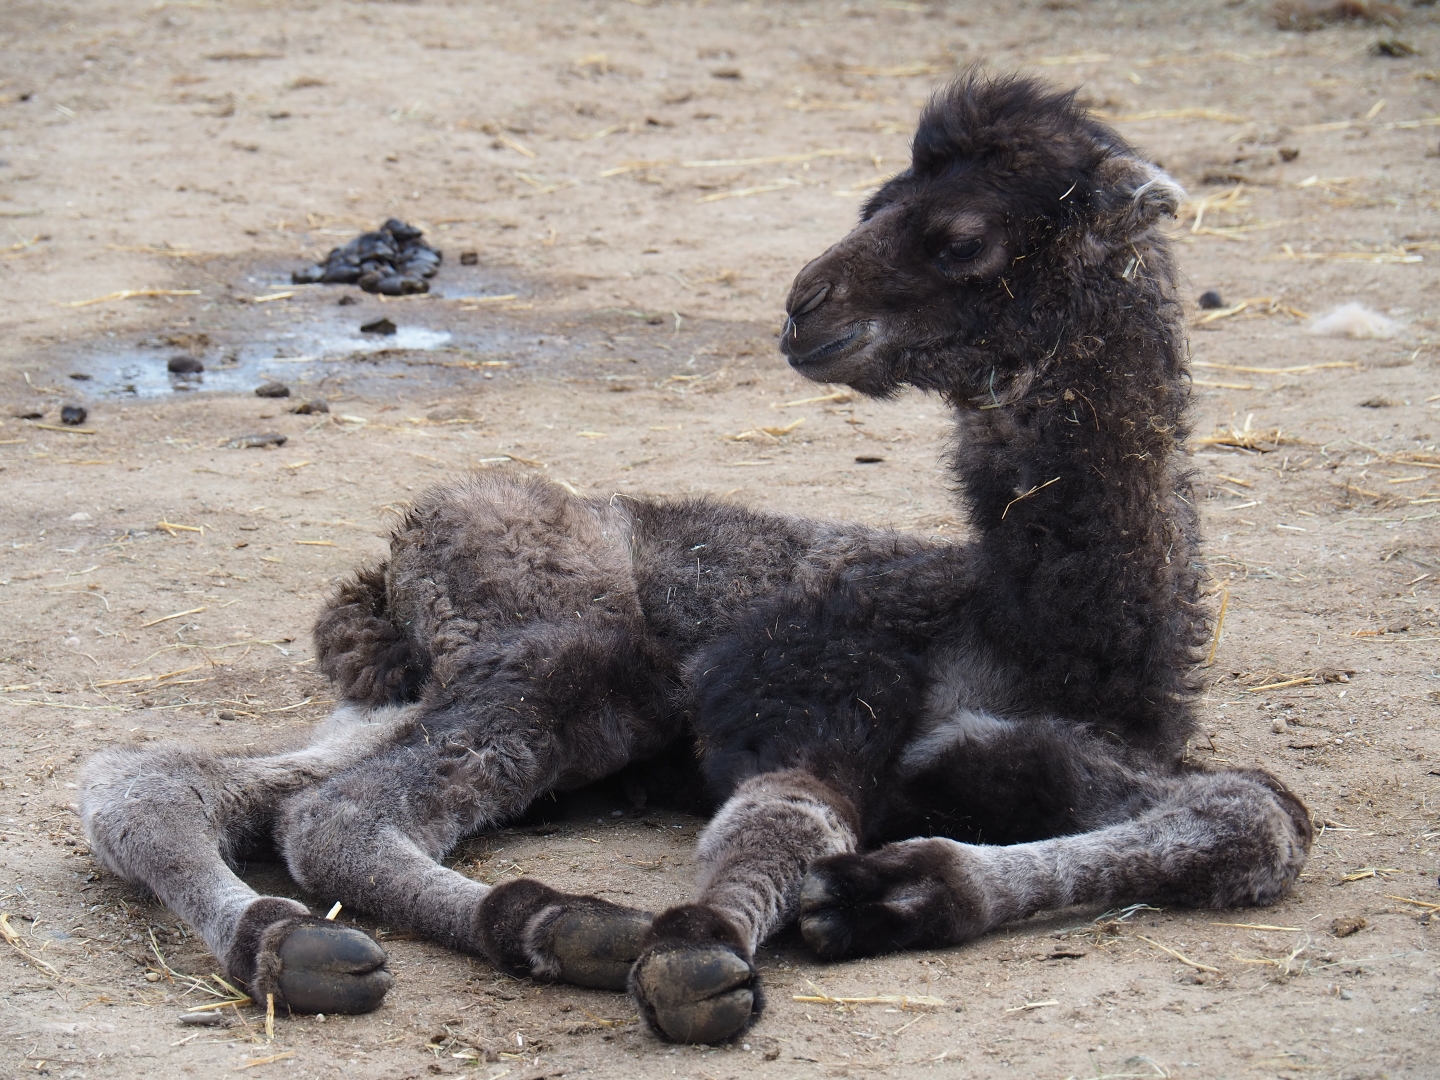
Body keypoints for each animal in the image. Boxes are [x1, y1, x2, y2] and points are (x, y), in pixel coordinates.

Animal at [80, 72, 1312, 1046]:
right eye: (877, 204)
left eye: (961, 238)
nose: (804, 305)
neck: (1038, 624)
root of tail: (389, 564)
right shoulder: (813, 680)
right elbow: (784, 815)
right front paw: (703, 948)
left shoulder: (1044, 742)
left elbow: (1260, 818)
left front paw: (897, 892)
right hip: (559, 661)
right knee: (330, 818)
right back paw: (536, 928)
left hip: (441, 689)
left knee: (163, 782)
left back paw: (294, 943)